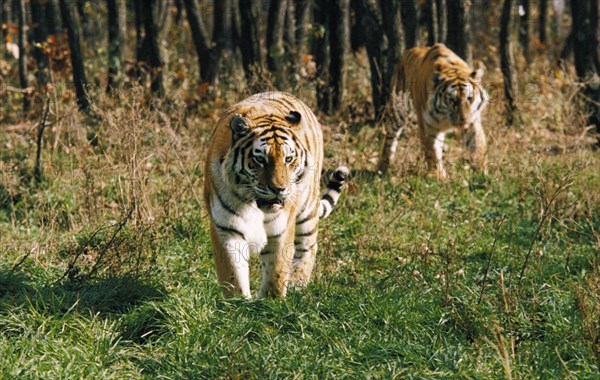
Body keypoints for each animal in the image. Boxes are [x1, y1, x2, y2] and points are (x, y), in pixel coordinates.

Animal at [204, 90, 350, 298]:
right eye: (260, 159)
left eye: (288, 159)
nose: (279, 189)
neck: (254, 205)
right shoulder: (226, 228)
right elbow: (233, 275)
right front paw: (238, 302)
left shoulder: (281, 229)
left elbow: (276, 272)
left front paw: (270, 301)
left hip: (307, 209)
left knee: (309, 246)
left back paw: (297, 282)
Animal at [378, 43, 490, 178]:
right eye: (452, 100)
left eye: (470, 98)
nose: (464, 120)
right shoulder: (428, 127)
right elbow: (432, 151)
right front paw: (437, 176)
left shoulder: (473, 121)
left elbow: (478, 145)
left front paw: (481, 172)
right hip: (398, 110)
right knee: (390, 138)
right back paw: (383, 168)